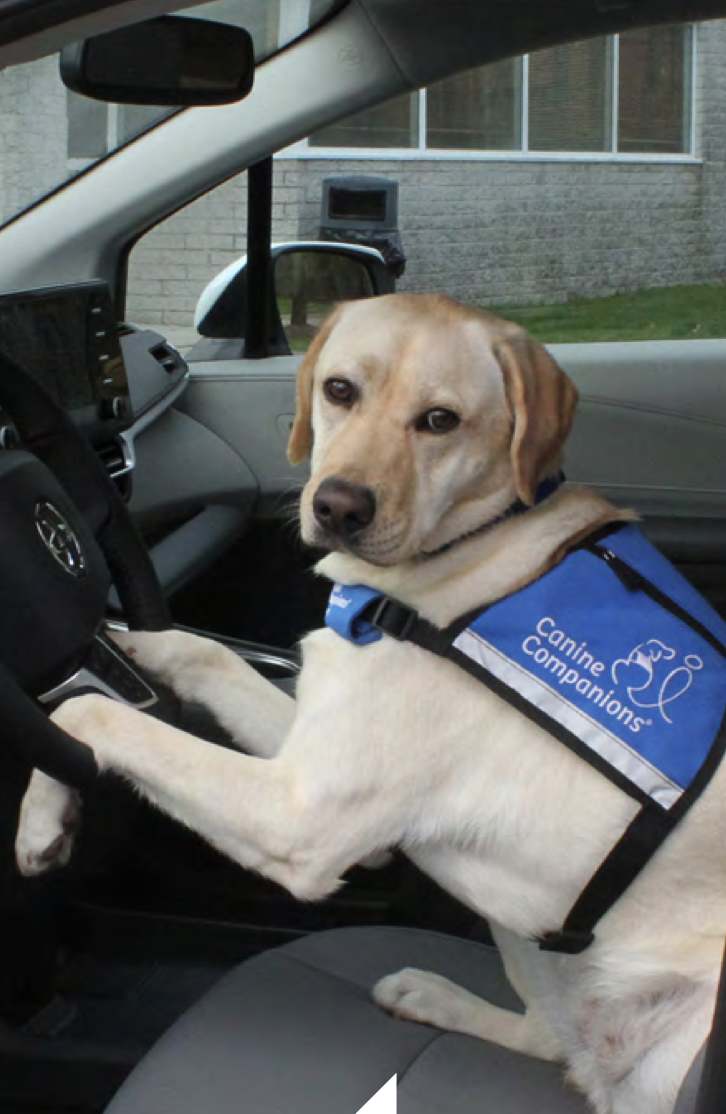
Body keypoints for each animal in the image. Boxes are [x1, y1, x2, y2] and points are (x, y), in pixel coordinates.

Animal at [14, 294, 721, 1114]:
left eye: (441, 420)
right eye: (340, 390)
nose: (339, 507)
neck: (466, 550)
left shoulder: (302, 820)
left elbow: (84, 715)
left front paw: (36, 816)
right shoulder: (311, 747)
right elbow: (193, 654)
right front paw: (123, 656)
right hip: (530, 939)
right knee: (555, 1041)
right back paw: (434, 997)